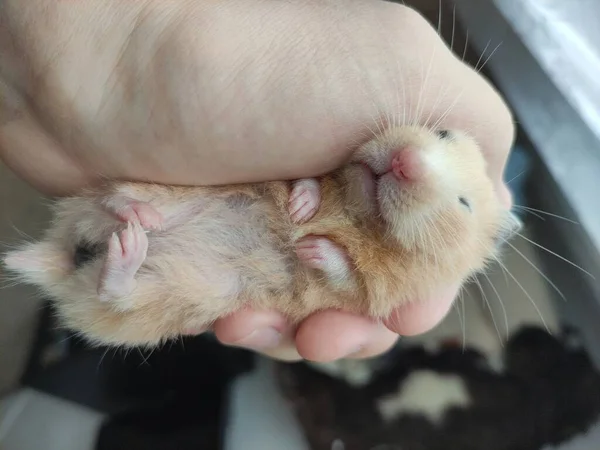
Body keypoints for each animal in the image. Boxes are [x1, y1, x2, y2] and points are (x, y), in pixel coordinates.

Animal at [1, 125, 520, 348]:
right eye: (442, 130)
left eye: (464, 205)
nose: (404, 161)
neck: (359, 213)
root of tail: (67, 258)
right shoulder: (308, 169)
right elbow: (305, 179)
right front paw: (301, 209)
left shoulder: (366, 297)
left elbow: (345, 275)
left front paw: (310, 247)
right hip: (170, 196)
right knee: (112, 204)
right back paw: (135, 219)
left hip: (162, 300)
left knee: (113, 289)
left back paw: (126, 245)